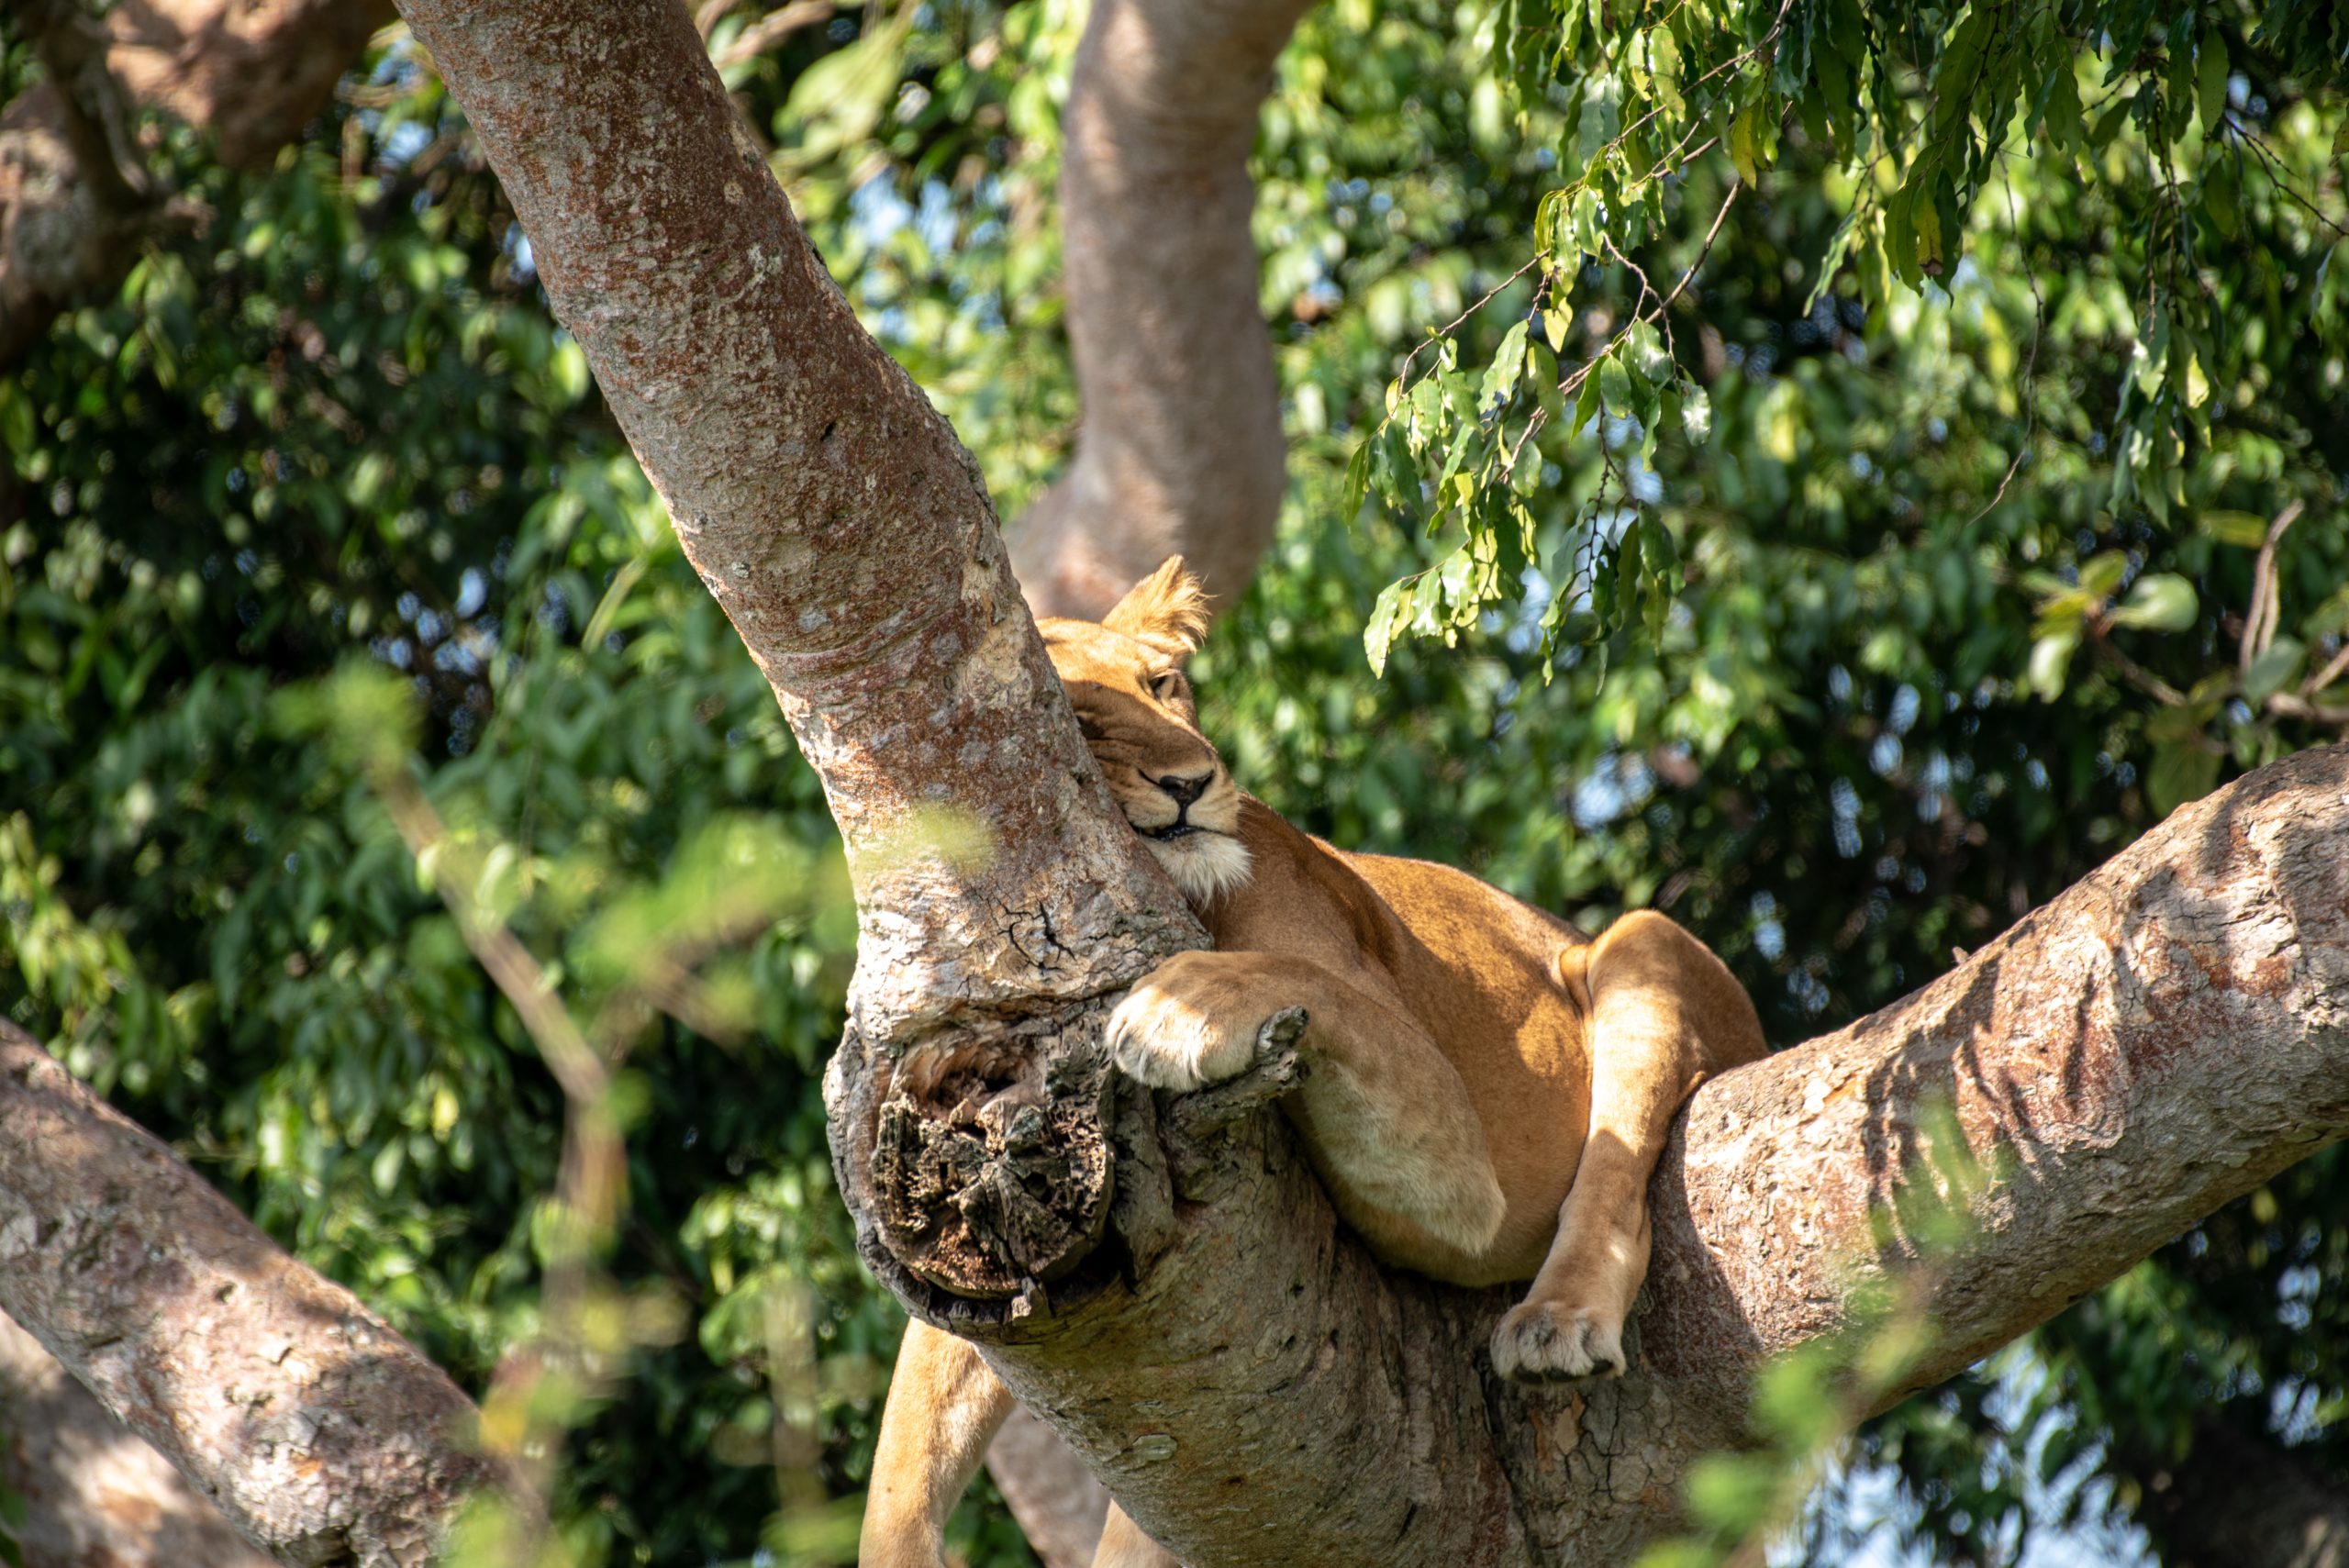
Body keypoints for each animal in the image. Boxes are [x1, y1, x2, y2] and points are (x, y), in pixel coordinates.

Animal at [864, 556, 1766, 1558]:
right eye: (1081, 715)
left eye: (1162, 684)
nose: (1196, 779)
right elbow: (910, 1438)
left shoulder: (1462, 1170)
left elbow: (1301, 978)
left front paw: (1179, 1008)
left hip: (1639, 943)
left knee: (1619, 1178)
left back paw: (1558, 1321)